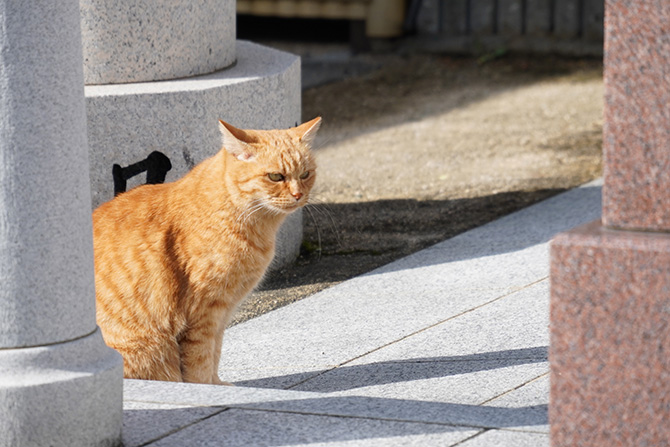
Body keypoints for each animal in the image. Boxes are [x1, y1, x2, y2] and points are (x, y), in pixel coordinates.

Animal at [93, 118, 322, 384]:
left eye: (305, 174)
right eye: (275, 176)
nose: (298, 195)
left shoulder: (221, 313)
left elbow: (215, 353)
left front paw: (219, 385)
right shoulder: (202, 315)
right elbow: (200, 364)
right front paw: (208, 389)